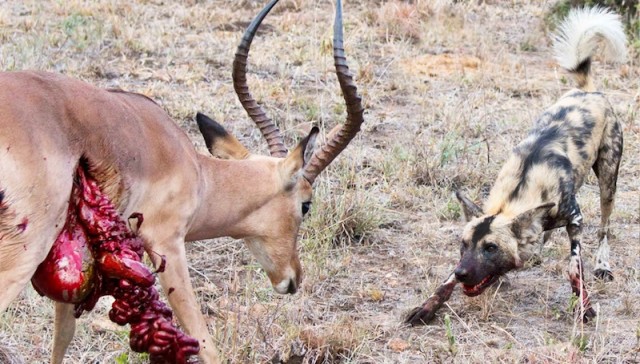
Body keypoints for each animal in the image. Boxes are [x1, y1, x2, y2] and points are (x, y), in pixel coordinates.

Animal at [408, 6, 628, 324]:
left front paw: (584, 306)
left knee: (604, 227)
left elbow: (574, 267)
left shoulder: (576, 219)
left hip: (608, 182)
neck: (519, 193)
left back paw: (602, 265)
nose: (463, 274)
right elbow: (444, 280)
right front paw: (428, 305)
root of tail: (587, 91)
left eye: (491, 248)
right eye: (463, 245)